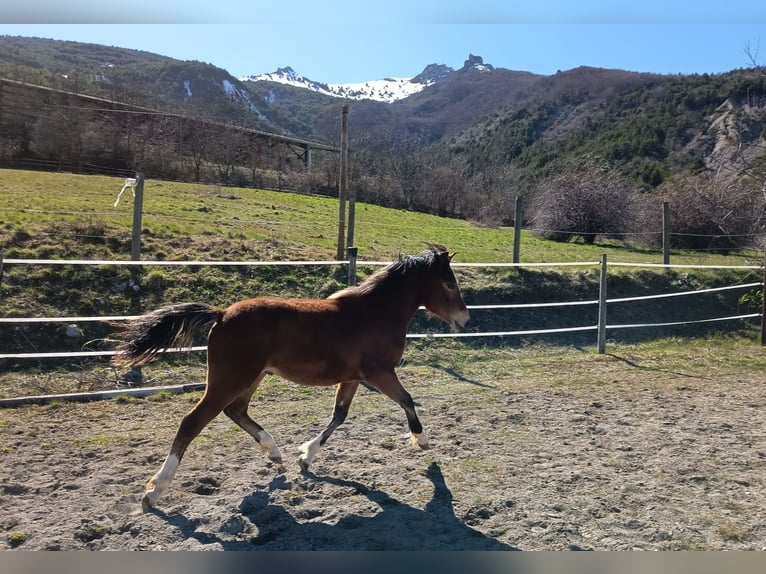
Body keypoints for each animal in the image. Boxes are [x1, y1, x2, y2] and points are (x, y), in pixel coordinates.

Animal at [111, 244, 470, 510]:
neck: (375, 313)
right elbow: (406, 399)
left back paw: (275, 453)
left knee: (236, 411)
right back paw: (154, 492)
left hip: (250, 378)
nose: (465, 320)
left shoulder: (353, 377)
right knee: (192, 422)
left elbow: (339, 415)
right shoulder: (379, 371)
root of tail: (222, 314)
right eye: (450, 284)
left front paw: (306, 457)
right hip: (231, 379)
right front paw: (422, 441)